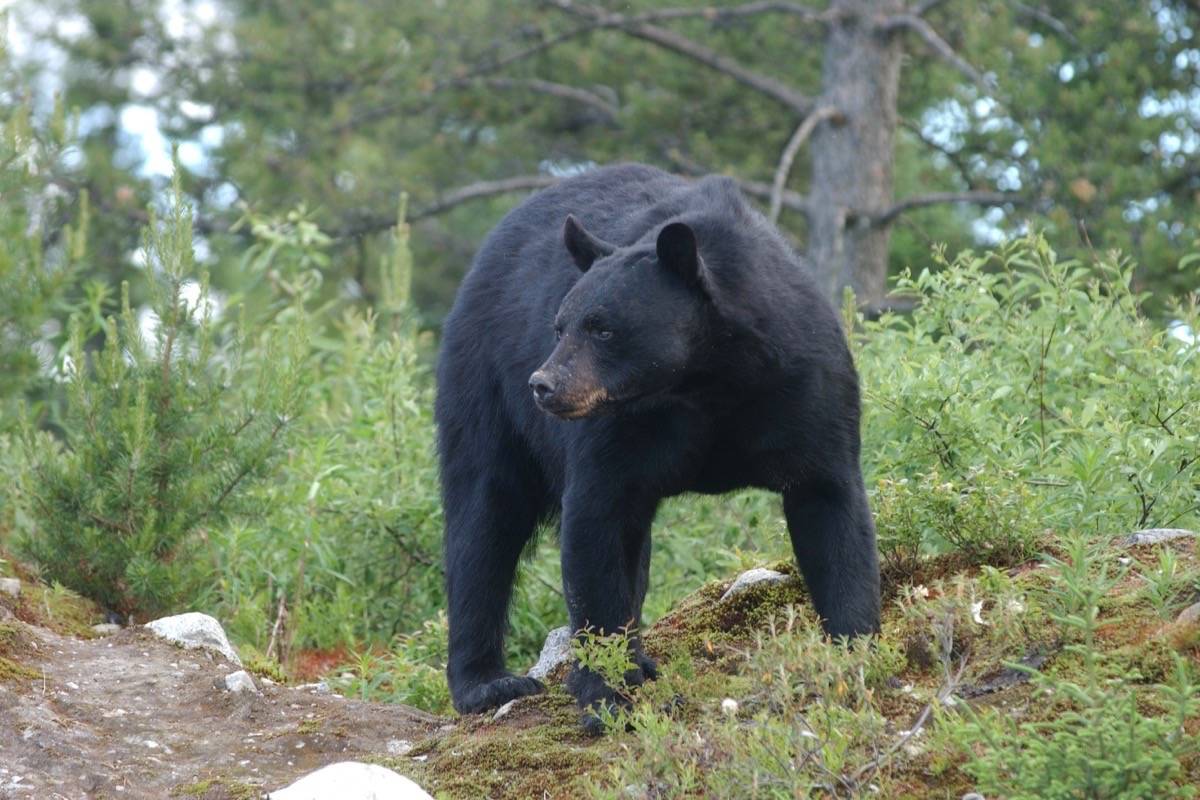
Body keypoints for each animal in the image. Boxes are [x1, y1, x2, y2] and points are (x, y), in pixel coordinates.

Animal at [436, 163, 878, 724]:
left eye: (601, 328)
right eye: (559, 326)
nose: (543, 385)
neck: (705, 380)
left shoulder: (806, 387)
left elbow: (830, 504)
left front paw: (855, 650)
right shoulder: (619, 430)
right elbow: (596, 524)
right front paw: (605, 694)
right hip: (482, 384)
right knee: (484, 517)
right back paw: (487, 682)